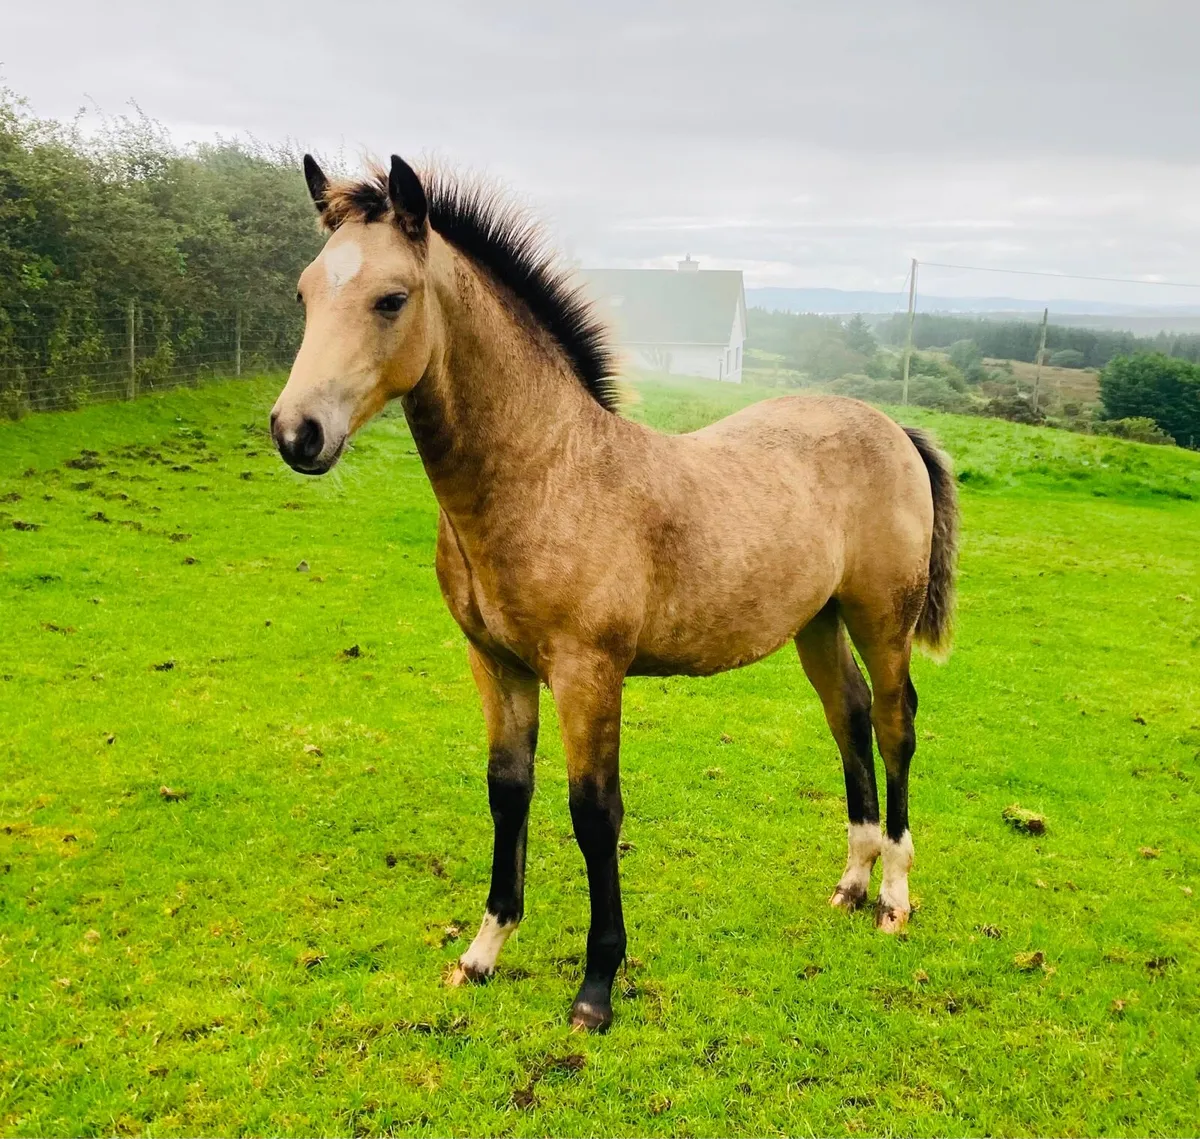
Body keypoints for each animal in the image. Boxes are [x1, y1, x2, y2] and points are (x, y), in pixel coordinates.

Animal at [269, 154, 959, 1033]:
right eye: (305, 293)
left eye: (392, 298)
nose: (297, 433)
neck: (547, 473)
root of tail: (893, 427)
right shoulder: (496, 664)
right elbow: (508, 793)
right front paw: (483, 952)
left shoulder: (587, 671)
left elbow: (594, 815)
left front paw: (596, 988)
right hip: (817, 624)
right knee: (852, 715)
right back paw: (852, 880)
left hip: (882, 618)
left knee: (898, 725)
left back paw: (896, 895)